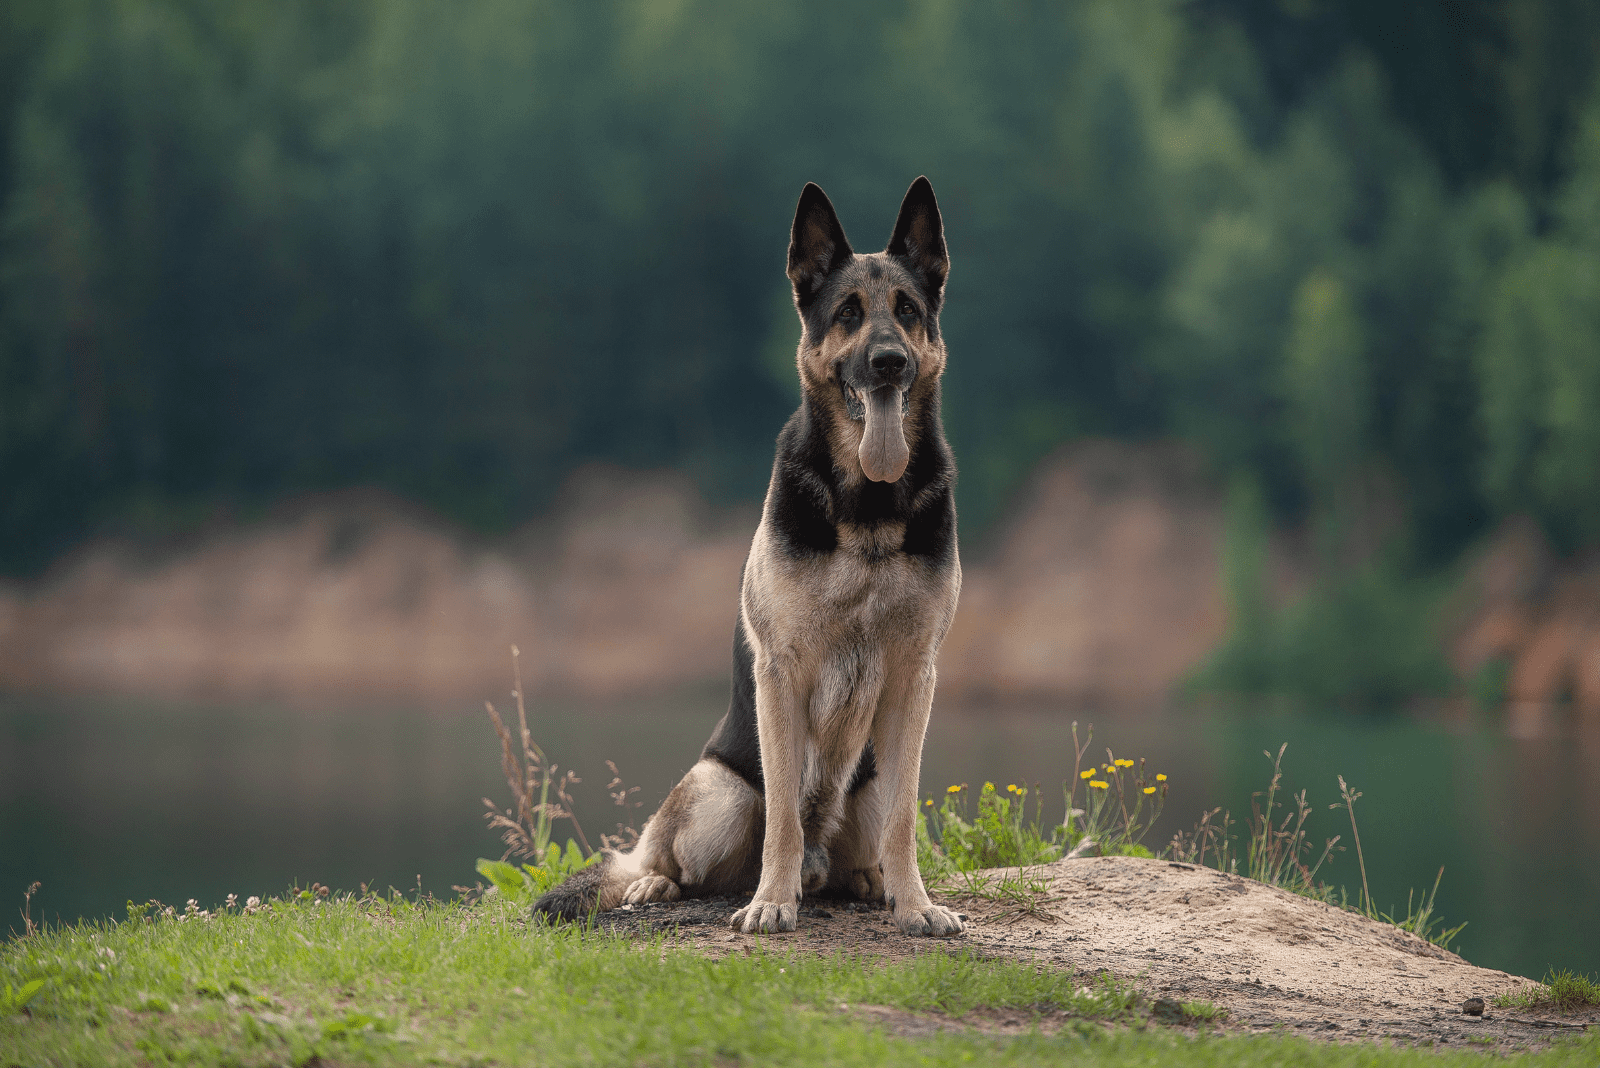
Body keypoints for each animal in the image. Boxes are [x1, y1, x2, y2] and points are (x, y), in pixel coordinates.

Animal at [537, 175, 960, 933]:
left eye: (908, 311)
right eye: (848, 313)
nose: (889, 363)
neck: (868, 507)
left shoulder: (917, 677)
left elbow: (906, 818)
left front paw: (915, 905)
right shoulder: (780, 673)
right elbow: (785, 817)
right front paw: (770, 903)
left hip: (866, 787)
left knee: (865, 840)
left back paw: (867, 882)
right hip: (719, 792)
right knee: (658, 857)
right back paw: (666, 885)